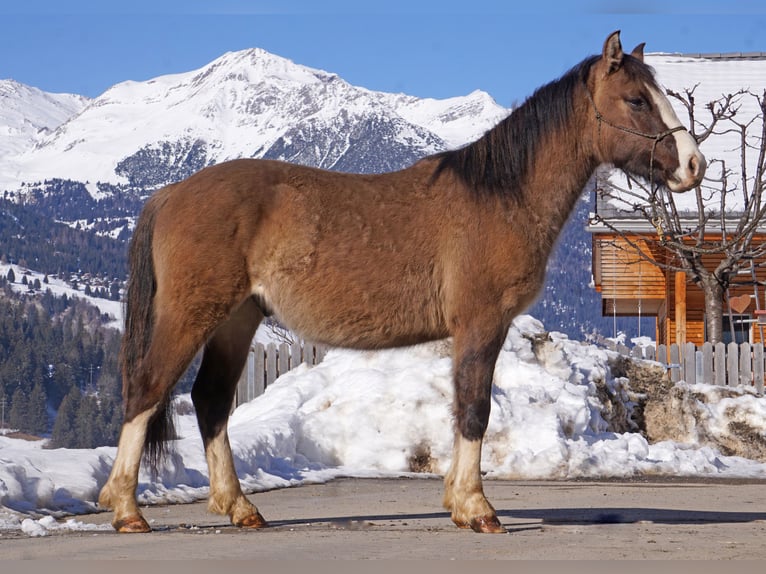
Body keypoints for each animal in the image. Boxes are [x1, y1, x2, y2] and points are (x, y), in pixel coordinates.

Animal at [100, 31, 708, 536]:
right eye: (636, 100)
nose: (694, 165)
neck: (499, 196)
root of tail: (172, 192)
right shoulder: (480, 323)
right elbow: (474, 409)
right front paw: (476, 508)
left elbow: (465, 409)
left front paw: (458, 501)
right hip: (192, 315)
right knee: (148, 388)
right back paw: (127, 510)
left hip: (237, 318)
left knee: (210, 401)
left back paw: (240, 508)